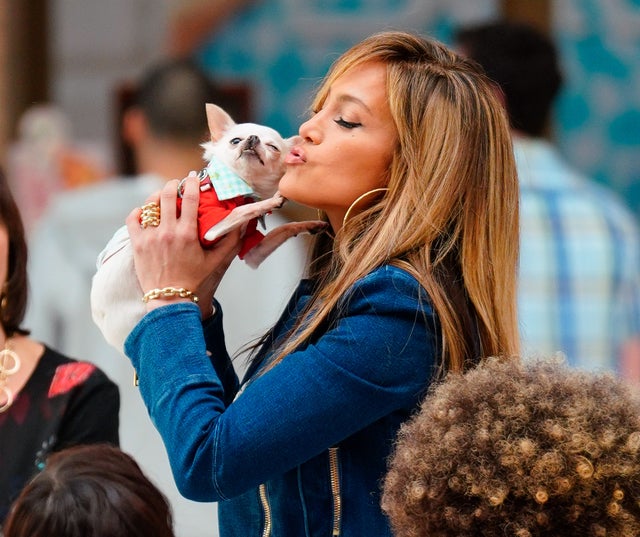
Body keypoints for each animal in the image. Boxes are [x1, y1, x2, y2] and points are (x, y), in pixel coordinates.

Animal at [90, 103, 324, 356]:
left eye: (273, 147)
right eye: (235, 140)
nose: (252, 139)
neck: (240, 186)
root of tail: (103, 325)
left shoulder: (255, 252)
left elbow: (282, 229)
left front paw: (309, 224)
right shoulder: (212, 228)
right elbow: (244, 210)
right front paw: (272, 201)